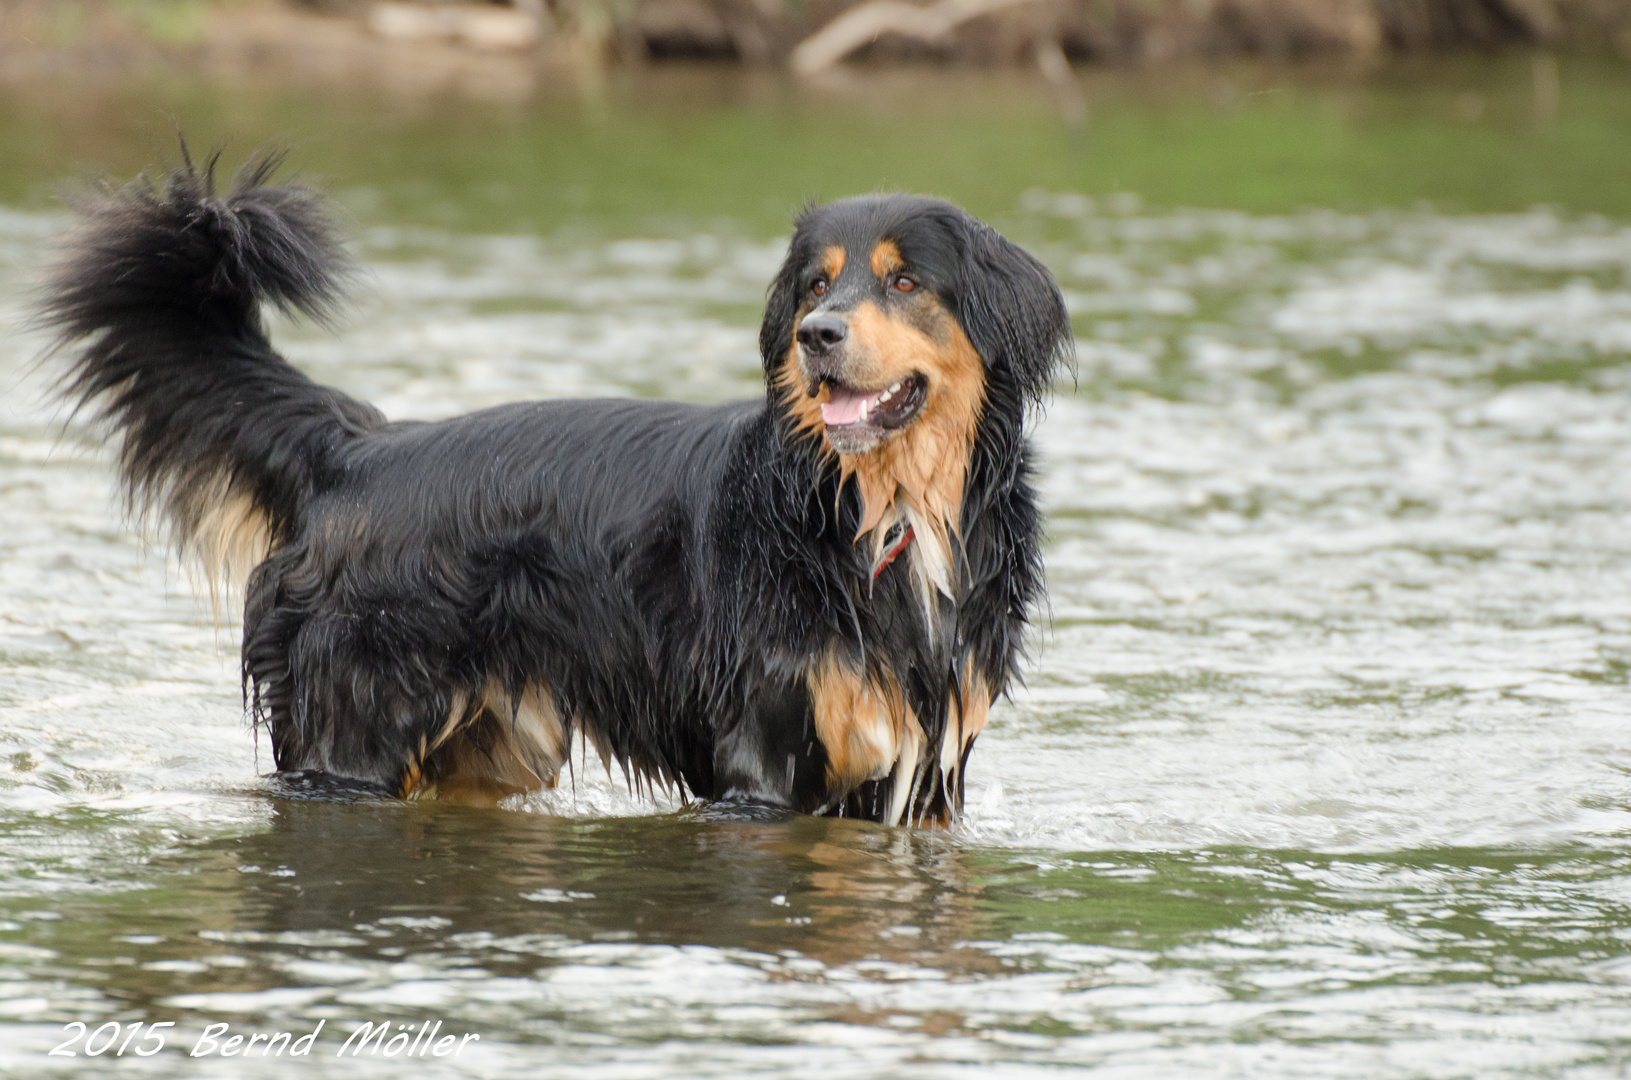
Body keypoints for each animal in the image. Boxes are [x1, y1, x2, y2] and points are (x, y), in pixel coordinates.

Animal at [38, 154, 1069, 828]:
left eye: (904, 283)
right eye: (816, 284)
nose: (816, 336)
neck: (878, 509)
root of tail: (356, 452)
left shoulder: (928, 773)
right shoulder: (764, 763)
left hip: (486, 745)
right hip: (350, 737)